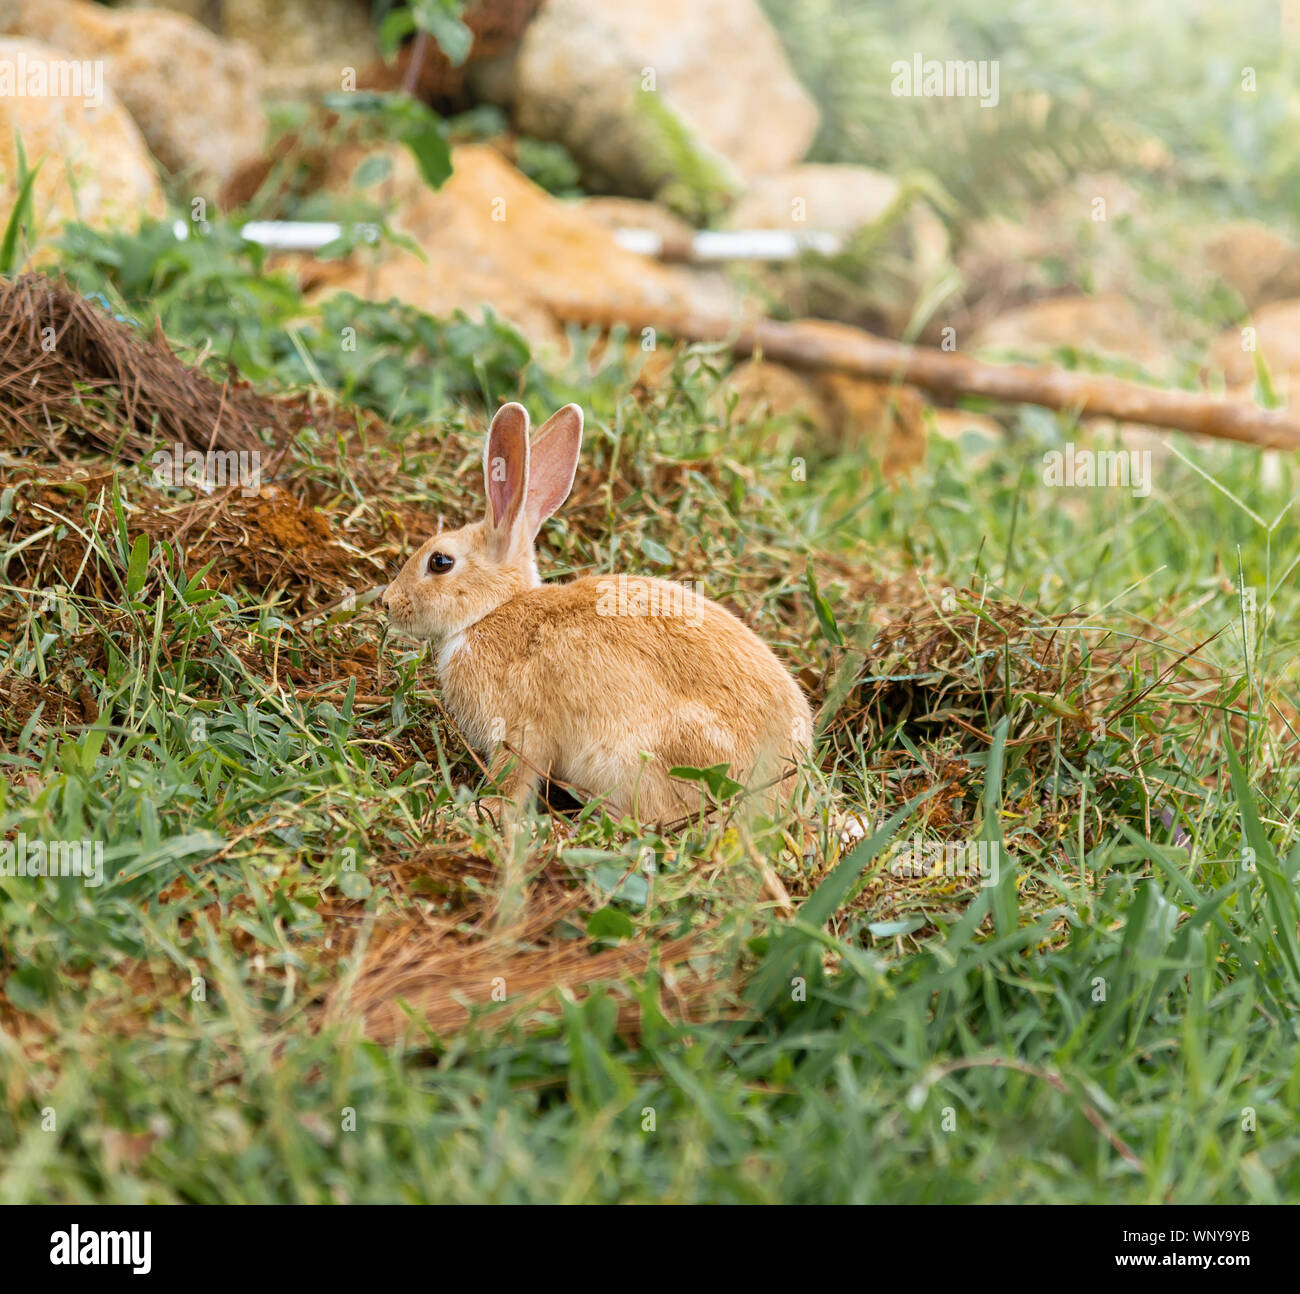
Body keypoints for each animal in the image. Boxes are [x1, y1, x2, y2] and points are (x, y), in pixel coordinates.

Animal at [379, 400, 811, 827]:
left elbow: (514, 780)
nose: (388, 602)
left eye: (440, 562)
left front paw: (479, 810)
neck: (493, 610)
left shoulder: (521, 730)